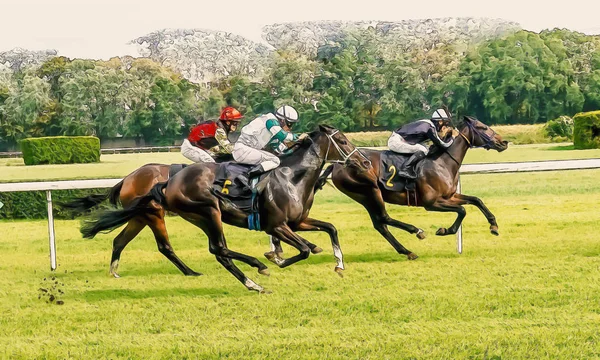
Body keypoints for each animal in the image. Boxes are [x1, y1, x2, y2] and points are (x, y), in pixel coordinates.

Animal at [75, 125, 370, 294]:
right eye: (342, 140)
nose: (365, 162)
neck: (292, 176)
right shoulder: (277, 225)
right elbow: (305, 249)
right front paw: (277, 258)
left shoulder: (298, 222)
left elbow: (330, 229)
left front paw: (339, 264)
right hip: (204, 211)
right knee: (213, 249)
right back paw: (254, 273)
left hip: (161, 215)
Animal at [312, 116, 508, 260]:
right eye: (482, 127)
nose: (504, 142)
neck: (442, 162)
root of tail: (337, 165)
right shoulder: (431, 203)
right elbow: (462, 210)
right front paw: (445, 230)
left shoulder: (449, 196)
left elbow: (476, 200)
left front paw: (494, 226)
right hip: (370, 191)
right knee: (383, 218)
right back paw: (416, 232)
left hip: (364, 197)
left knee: (380, 224)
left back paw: (407, 251)